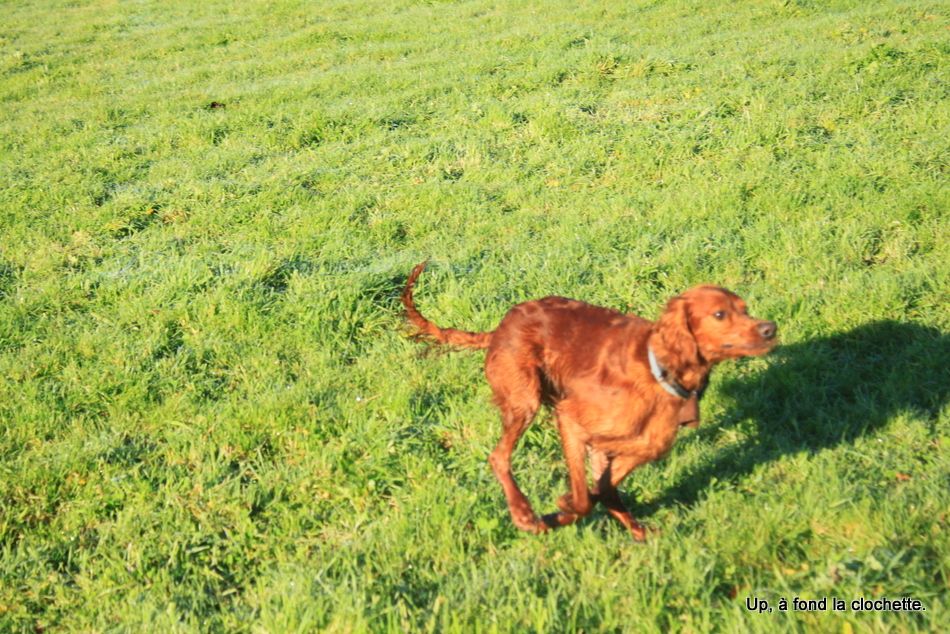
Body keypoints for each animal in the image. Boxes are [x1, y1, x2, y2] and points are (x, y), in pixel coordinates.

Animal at [404, 262, 780, 540]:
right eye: (719, 315)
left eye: (745, 309)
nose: (770, 329)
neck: (657, 369)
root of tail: (500, 327)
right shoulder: (571, 420)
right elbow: (587, 497)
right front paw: (558, 511)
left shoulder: (636, 445)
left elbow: (603, 488)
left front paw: (571, 514)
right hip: (525, 399)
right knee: (498, 457)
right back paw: (523, 513)